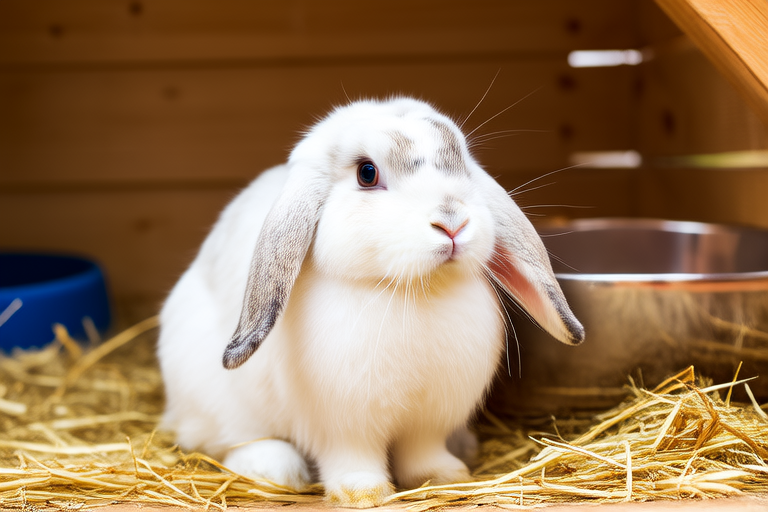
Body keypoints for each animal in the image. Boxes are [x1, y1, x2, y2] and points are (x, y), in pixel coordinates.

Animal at [157, 97, 584, 508]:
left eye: (462, 164)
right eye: (367, 173)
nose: (452, 222)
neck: (416, 291)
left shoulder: (428, 422)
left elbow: (423, 453)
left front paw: (445, 477)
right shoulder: (343, 428)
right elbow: (352, 460)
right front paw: (363, 494)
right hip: (216, 403)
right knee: (229, 440)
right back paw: (276, 469)